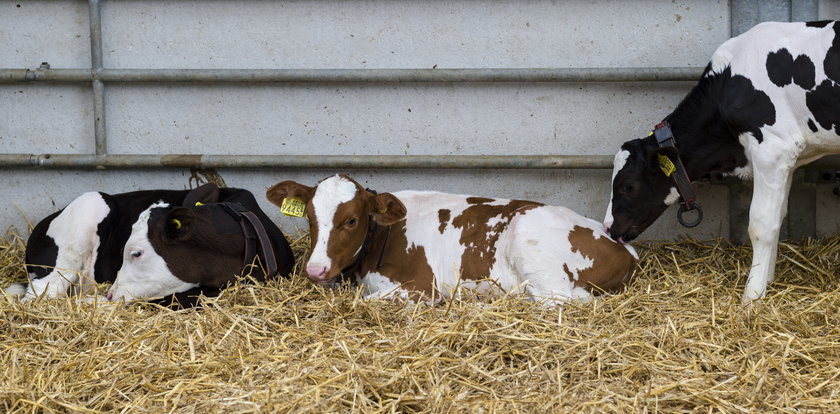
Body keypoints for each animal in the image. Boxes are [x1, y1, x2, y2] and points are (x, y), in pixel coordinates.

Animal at [270, 173, 636, 306]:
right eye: (309, 217)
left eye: (351, 220)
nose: (315, 270)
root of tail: (621, 246)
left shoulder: (422, 286)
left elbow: (366, 301)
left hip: (535, 254)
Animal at [608, 21, 840, 302]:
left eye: (627, 185)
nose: (608, 229)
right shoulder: (788, 158)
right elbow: (778, 216)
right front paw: (766, 281)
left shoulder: (771, 150)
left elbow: (762, 224)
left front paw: (752, 296)